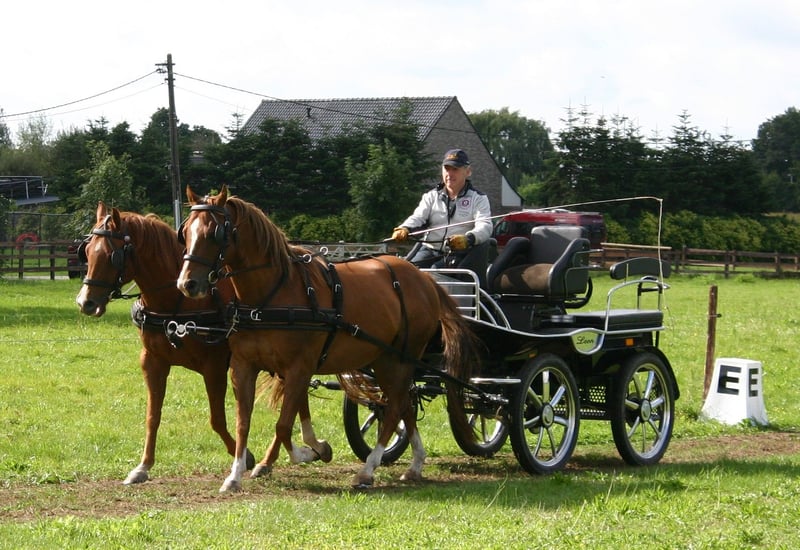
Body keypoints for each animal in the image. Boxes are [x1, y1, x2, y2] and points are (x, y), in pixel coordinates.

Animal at [176, 185, 479, 492]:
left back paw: (368, 470)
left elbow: (284, 425)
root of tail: (425, 280)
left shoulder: (299, 367)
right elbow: (244, 423)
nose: (187, 284)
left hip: (399, 359)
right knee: (404, 403)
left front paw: (308, 452)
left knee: (394, 408)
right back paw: (416, 463)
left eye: (215, 234)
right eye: (185, 232)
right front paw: (236, 475)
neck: (271, 295)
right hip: (384, 360)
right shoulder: (243, 366)